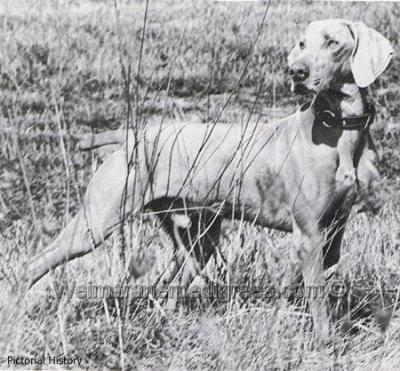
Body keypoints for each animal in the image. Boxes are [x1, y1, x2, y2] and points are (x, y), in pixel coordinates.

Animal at [26, 17, 392, 342]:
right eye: (302, 44)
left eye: (332, 42)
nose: (296, 72)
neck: (340, 131)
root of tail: (131, 136)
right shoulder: (310, 234)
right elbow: (317, 297)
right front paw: (324, 342)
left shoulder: (333, 230)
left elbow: (309, 278)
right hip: (94, 225)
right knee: (36, 262)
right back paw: (20, 307)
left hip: (198, 237)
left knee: (170, 287)